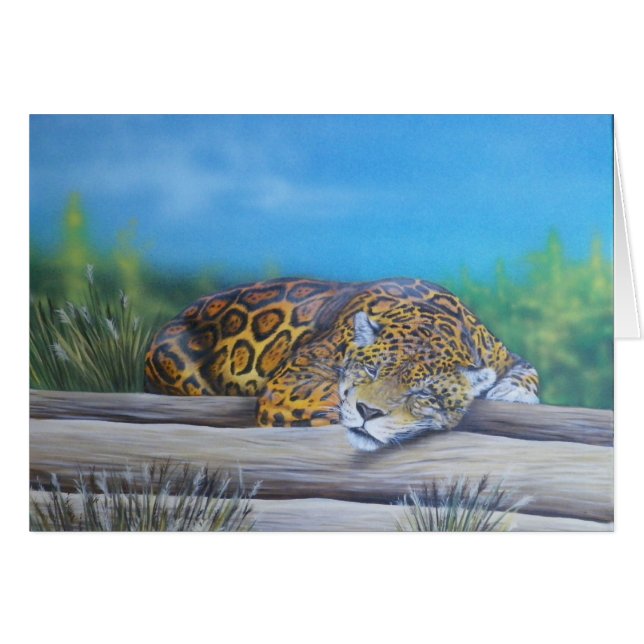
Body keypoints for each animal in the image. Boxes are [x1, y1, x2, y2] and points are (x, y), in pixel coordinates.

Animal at [144, 277, 539, 451]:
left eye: (423, 393)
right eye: (371, 370)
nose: (369, 412)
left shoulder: (503, 354)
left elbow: (529, 370)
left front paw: (510, 392)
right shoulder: (294, 378)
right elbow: (331, 394)